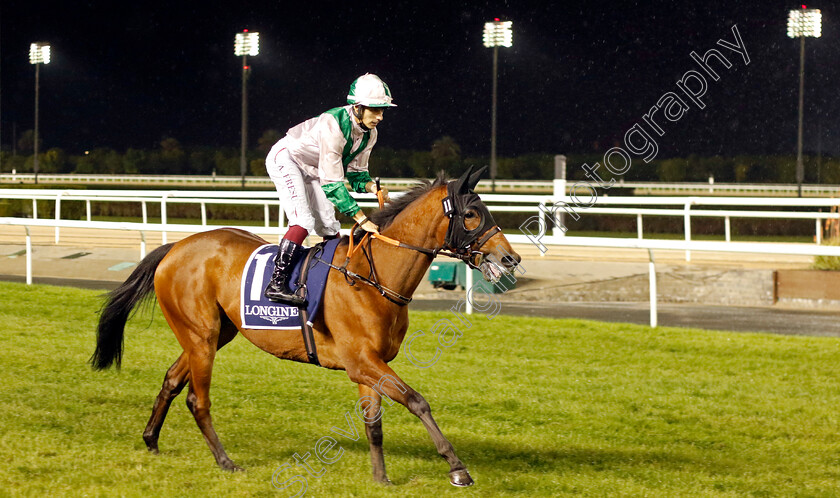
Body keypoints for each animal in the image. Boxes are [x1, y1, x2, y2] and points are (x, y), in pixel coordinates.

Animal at [92, 167, 520, 486]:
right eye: (472, 214)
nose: (510, 258)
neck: (372, 276)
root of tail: (175, 248)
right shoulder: (361, 361)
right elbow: (417, 401)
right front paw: (457, 468)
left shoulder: (369, 365)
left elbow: (374, 424)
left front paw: (380, 478)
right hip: (201, 335)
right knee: (198, 399)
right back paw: (225, 461)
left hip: (212, 334)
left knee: (171, 379)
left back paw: (151, 439)